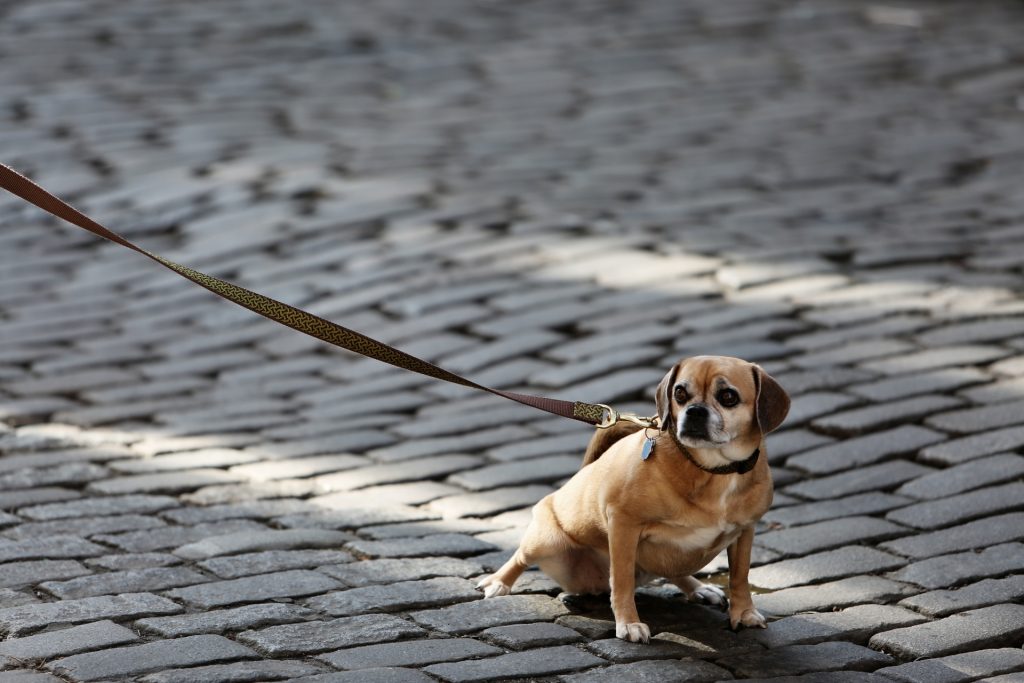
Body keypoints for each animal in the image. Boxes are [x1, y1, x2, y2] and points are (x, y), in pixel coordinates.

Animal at [475, 358, 786, 643]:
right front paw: (628, 623)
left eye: (728, 397)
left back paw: (699, 588)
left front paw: (743, 613)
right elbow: (622, 580)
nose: (694, 411)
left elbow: (740, 576)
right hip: (545, 541)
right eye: (680, 394)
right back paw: (498, 583)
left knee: (674, 570)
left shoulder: (745, 531)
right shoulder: (624, 525)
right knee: (520, 557)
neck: (711, 470)